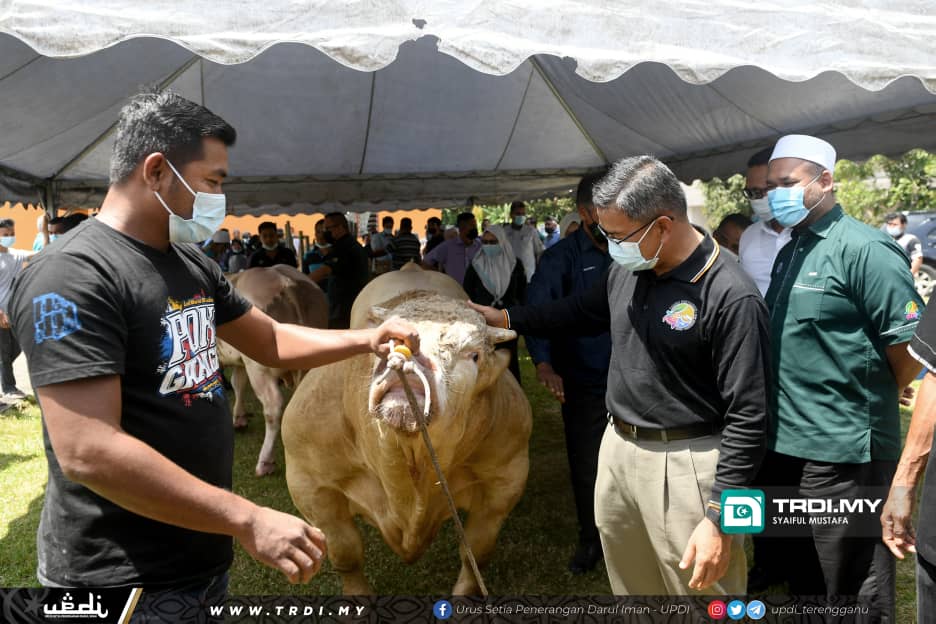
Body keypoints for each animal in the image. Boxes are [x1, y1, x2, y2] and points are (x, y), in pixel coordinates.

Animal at [218, 266, 328, 476]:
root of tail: (285, 280)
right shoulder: (239, 361)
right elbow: (238, 383)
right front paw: (239, 418)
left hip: (259, 367)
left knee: (273, 407)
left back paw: (265, 462)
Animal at [282, 264, 532, 596]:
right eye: (385, 340)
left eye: (475, 354)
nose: (412, 355)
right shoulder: (309, 482)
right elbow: (346, 553)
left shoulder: (504, 482)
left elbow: (475, 554)